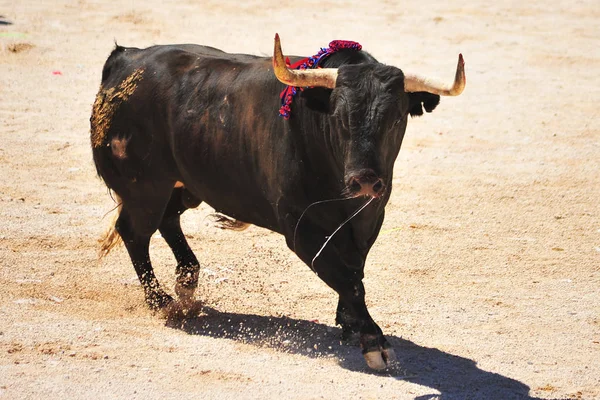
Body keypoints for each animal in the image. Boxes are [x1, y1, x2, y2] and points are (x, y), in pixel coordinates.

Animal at [90, 34, 464, 368]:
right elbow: (346, 278)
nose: (365, 181)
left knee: (168, 220)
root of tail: (125, 58)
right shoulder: (300, 229)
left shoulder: (370, 218)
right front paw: (375, 343)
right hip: (145, 188)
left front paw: (349, 323)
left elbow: (354, 270)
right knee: (136, 232)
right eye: (339, 117)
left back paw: (186, 282)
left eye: (396, 119)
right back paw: (162, 301)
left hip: (183, 185)